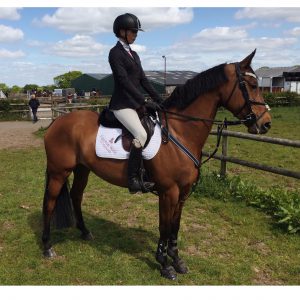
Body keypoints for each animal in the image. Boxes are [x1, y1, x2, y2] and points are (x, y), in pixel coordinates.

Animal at [42, 50, 272, 280]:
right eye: (252, 85)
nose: (266, 124)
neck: (180, 132)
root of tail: (57, 122)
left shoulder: (183, 192)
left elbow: (175, 226)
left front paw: (177, 260)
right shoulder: (168, 191)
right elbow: (164, 227)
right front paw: (164, 264)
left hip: (82, 169)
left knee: (76, 196)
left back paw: (85, 232)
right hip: (59, 172)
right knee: (49, 203)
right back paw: (47, 247)